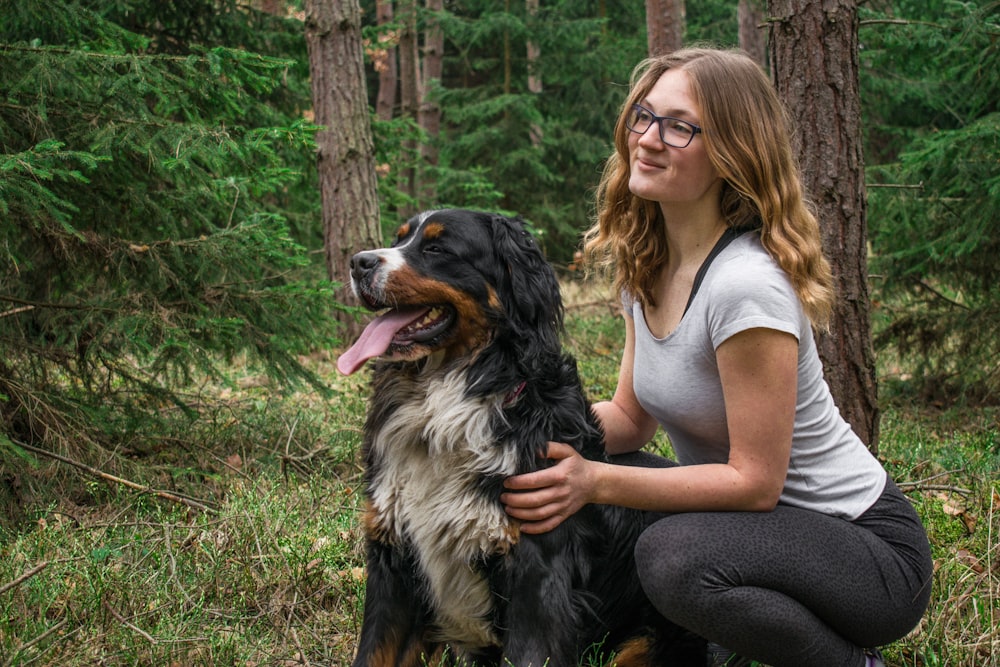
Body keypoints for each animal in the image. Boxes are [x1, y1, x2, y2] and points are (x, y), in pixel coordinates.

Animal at [336, 210, 704, 667]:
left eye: (437, 248)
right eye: (399, 238)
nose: (358, 263)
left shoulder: (536, 573)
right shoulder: (393, 562)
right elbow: (374, 652)